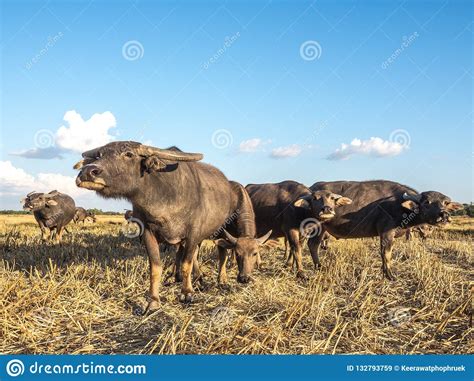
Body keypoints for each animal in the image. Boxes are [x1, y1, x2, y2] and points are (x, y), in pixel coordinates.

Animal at [73, 141, 266, 310]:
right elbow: (155, 267)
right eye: (99, 155)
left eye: (129, 154)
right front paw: (153, 300)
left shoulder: (193, 234)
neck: (165, 198)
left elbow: (188, 262)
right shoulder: (148, 233)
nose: (88, 171)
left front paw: (187, 293)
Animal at [310, 180, 462, 278]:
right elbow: (386, 254)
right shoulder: (386, 232)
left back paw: (319, 266)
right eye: (427, 202)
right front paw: (390, 275)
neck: (398, 205)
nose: (444, 215)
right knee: (312, 245)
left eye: (445, 203)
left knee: (313, 246)